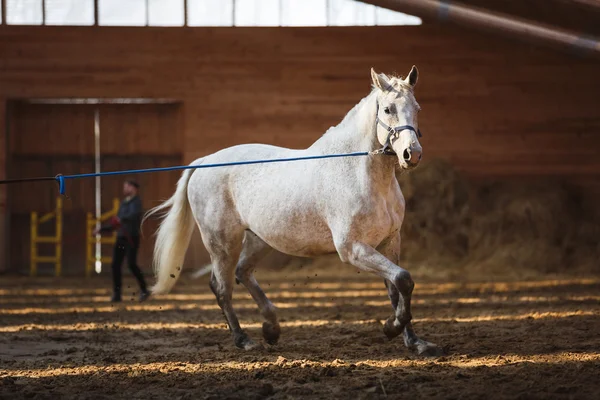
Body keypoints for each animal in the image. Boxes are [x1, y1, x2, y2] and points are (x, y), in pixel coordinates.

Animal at [148, 66, 442, 356]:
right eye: (388, 109)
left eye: (417, 108)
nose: (412, 154)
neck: (359, 173)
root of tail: (203, 162)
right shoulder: (352, 249)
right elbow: (403, 279)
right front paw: (391, 328)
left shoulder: (390, 242)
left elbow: (398, 287)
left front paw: (415, 342)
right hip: (222, 242)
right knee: (222, 287)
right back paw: (244, 339)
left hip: (259, 239)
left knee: (242, 272)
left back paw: (271, 328)